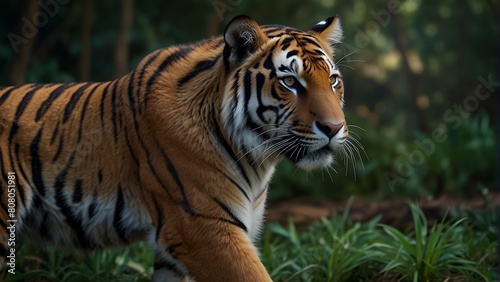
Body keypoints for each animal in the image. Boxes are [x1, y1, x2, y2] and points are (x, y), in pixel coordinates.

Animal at [0, 14, 348, 280]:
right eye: (290, 82)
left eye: (332, 80)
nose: (334, 128)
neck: (256, 158)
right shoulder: (204, 228)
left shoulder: (176, 249)